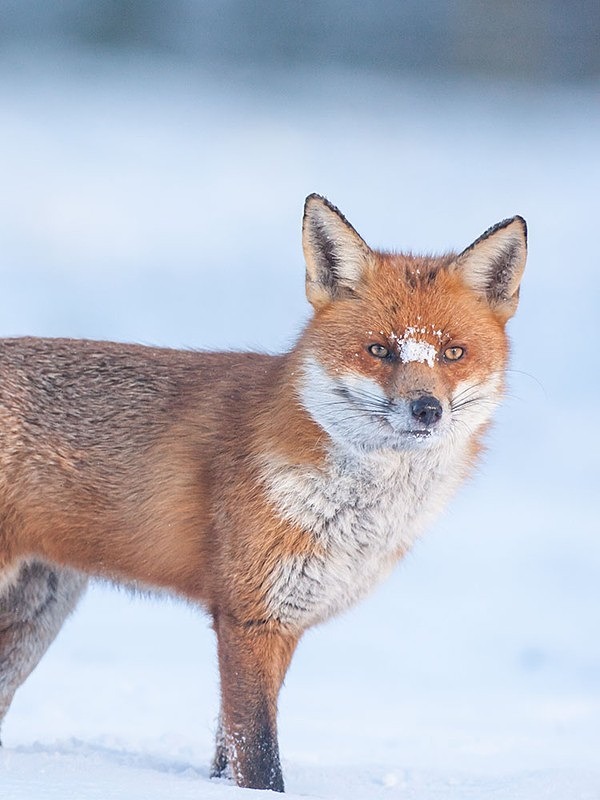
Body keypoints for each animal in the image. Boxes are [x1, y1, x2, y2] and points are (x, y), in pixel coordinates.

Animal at [0, 194, 524, 788]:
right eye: (379, 351)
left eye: (454, 353)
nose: (427, 409)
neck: (358, 512)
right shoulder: (251, 619)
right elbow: (259, 753)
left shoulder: (287, 617)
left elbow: (229, 751)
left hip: (35, 618)